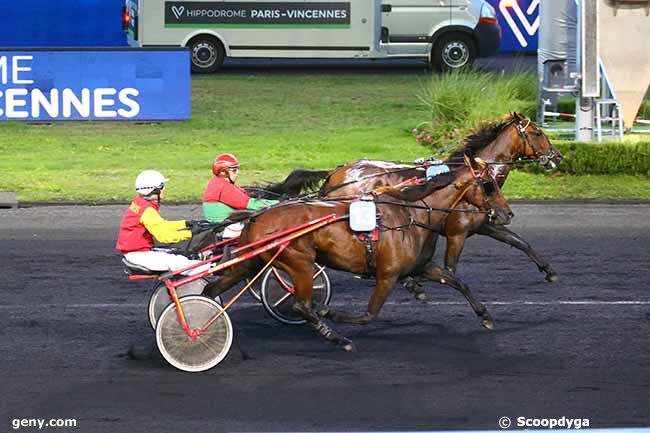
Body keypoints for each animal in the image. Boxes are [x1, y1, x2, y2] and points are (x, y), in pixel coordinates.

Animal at [202, 159, 512, 352]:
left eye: (497, 183)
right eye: (489, 185)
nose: (507, 213)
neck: (412, 214)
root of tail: (257, 218)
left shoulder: (420, 267)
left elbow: (458, 282)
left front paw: (485, 316)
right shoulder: (387, 275)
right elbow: (367, 315)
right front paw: (331, 313)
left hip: (252, 260)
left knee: (213, 287)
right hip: (299, 261)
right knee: (301, 305)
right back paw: (338, 337)